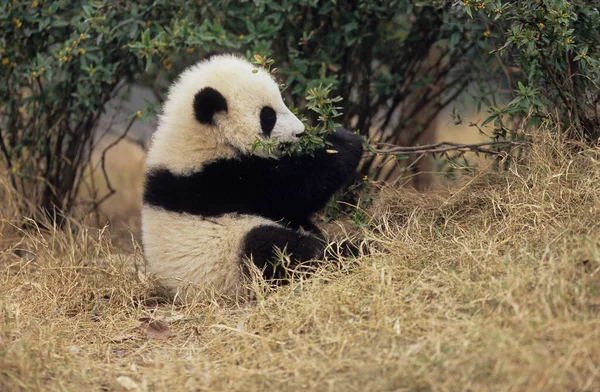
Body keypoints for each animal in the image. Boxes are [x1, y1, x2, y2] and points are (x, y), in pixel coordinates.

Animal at [143, 53, 364, 300]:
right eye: (268, 116)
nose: (300, 133)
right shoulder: (221, 180)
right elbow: (291, 191)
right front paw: (343, 141)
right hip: (227, 258)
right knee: (275, 248)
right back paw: (351, 251)